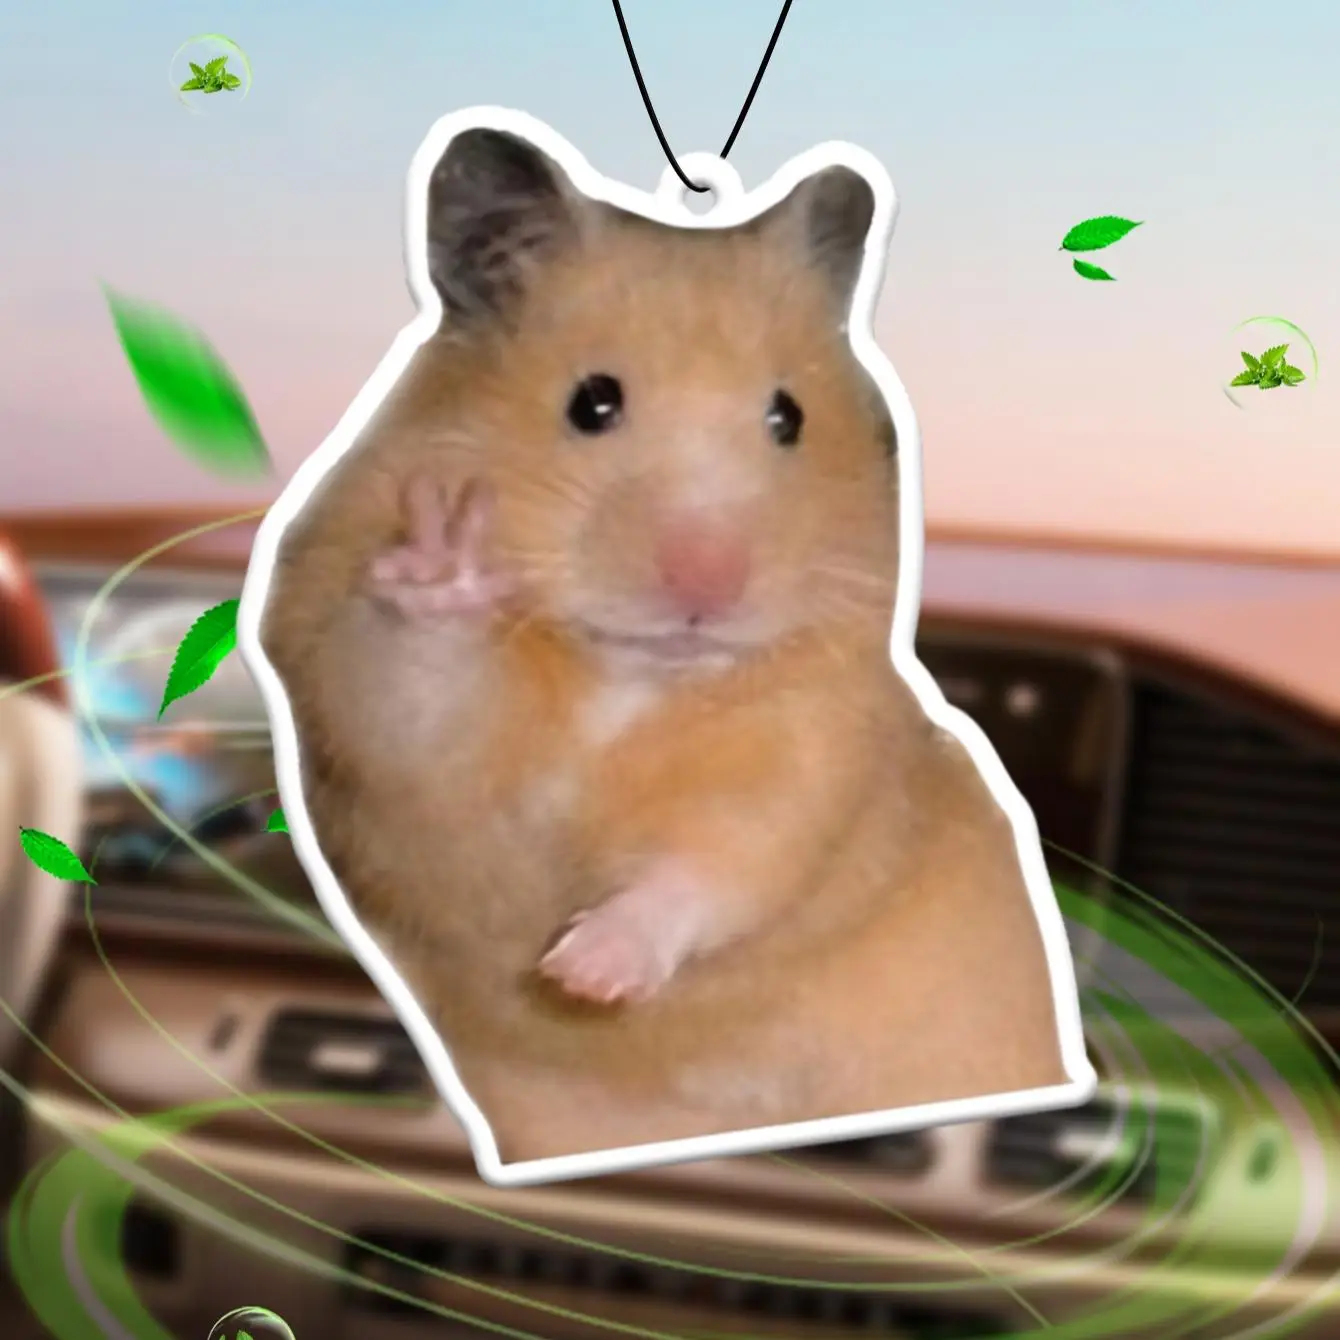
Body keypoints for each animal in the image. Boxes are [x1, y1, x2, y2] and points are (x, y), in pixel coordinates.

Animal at [259, 127, 1073, 1161]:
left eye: (788, 418)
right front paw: (448, 558)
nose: (708, 587)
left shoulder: (809, 755)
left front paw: (585, 972)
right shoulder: (378, 715)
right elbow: (415, 690)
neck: (630, 675)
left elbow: (717, 865)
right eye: (591, 403)